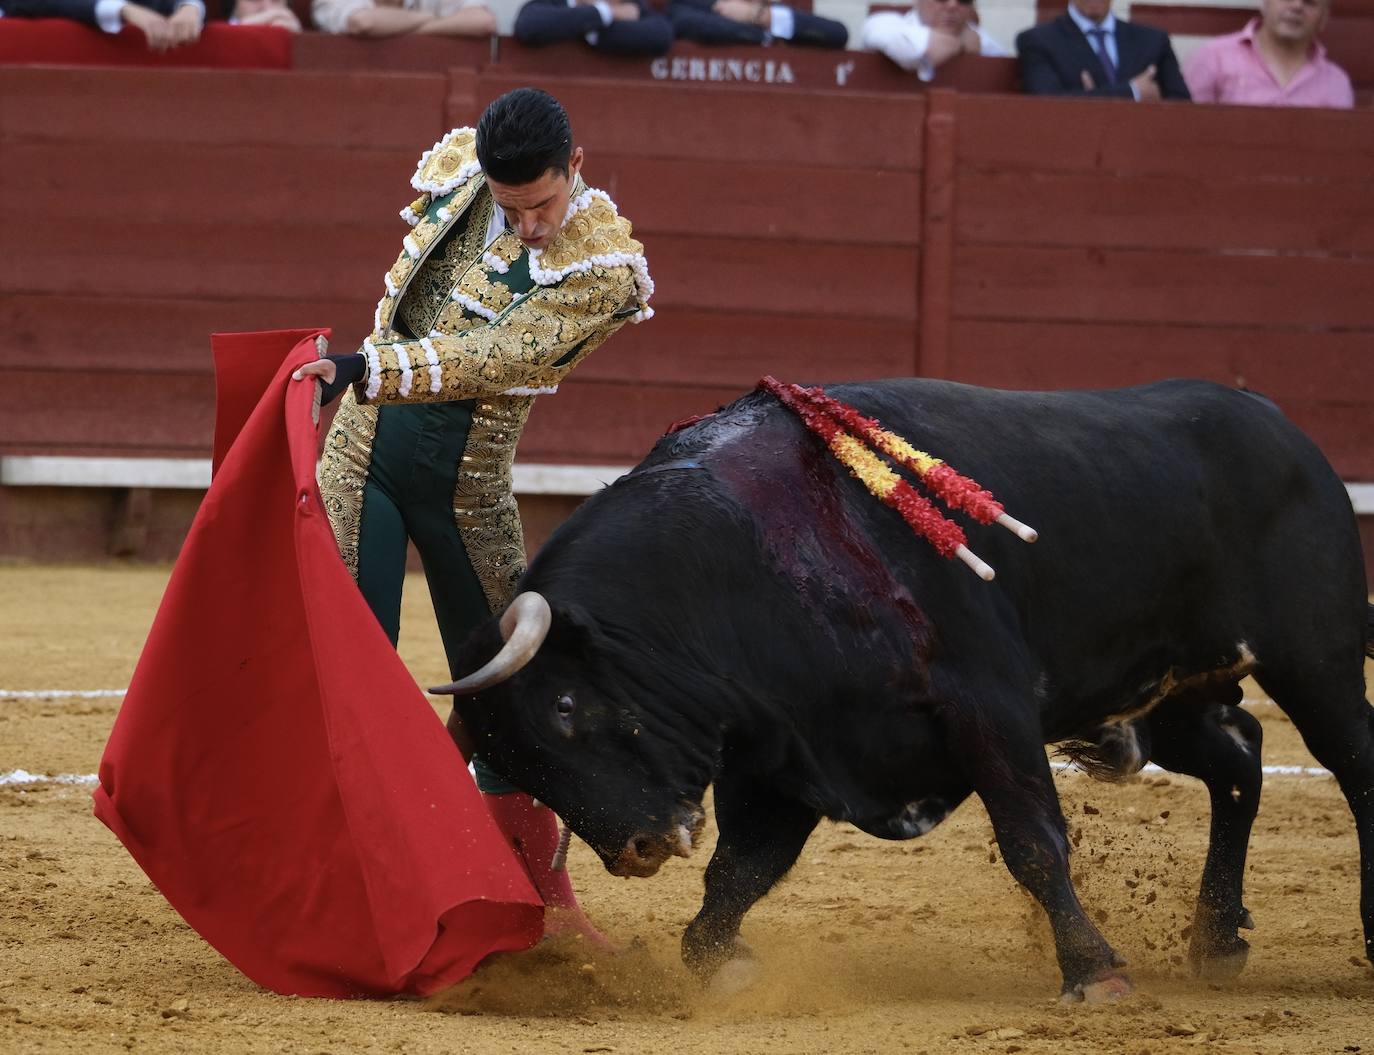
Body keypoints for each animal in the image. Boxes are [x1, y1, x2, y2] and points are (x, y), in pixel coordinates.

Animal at [442, 379, 1374, 1000]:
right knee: (1240, 758)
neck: (737, 560)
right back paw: (1216, 938)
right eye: (515, 766)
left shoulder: (988, 705)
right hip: (1164, 687)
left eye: (565, 709)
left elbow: (1033, 840)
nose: (635, 849)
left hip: (1316, 658)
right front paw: (727, 964)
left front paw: (1096, 972)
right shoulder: (791, 755)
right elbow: (737, 873)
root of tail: (1281, 426)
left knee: (1352, 763)